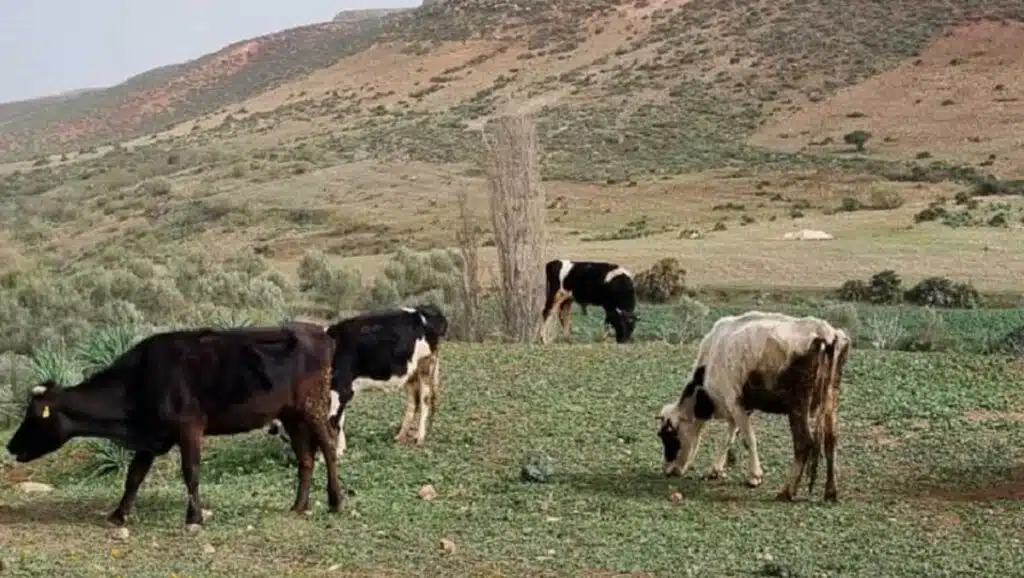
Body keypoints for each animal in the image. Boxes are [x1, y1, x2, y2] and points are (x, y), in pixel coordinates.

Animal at [5, 323, 342, 530]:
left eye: (33, 416)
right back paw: (298, 506)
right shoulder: (151, 436)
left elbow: (191, 472)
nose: (9, 445)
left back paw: (336, 501)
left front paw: (194, 518)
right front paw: (118, 514)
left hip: (314, 406)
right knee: (305, 457)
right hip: (291, 414)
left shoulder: (189, 427)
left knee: (328, 445)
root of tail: (319, 332)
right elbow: (134, 476)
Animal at [267, 304, 448, 458]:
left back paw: (419, 437)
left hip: (425, 367)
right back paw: (400, 436)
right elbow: (339, 421)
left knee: (424, 401)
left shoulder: (340, 390)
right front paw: (340, 449)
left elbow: (333, 422)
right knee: (413, 402)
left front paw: (329, 454)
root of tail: (425, 309)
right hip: (411, 373)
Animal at [656, 311, 851, 502]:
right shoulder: (737, 408)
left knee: (804, 443)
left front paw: (754, 476)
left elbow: (749, 439)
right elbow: (729, 438)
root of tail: (826, 332)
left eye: (667, 436)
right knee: (831, 441)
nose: (667, 471)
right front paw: (715, 469)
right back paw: (830, 492)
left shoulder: (736, 404)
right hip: (830, 401)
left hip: (798, 406)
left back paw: (786, 491)